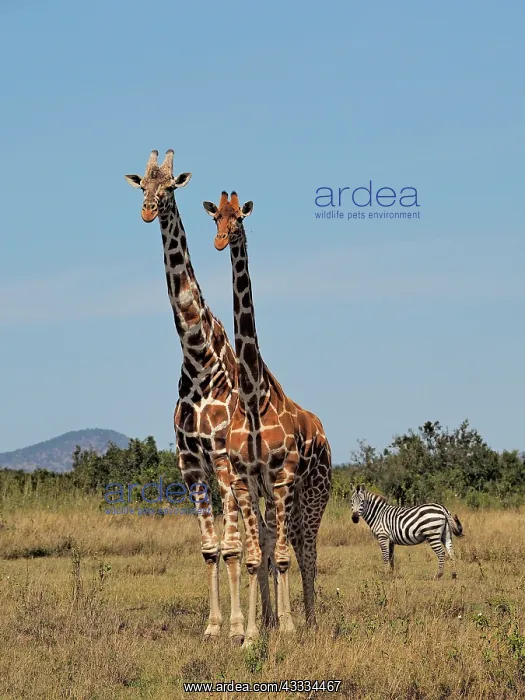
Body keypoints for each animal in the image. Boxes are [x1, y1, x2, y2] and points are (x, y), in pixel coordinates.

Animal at [124, 151, 248, 643]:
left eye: (169, 187)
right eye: (143, 186)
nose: (146, 211)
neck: (197, 358)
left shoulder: (222, 460)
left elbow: (232, 548)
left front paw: (237, 629)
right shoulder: (190, 463)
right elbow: (210, 548)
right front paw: (213, 627)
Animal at [203, 191, 332, 644]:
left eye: (239, 219)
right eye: (216, 218)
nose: (221, 241)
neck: (253, 396)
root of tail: (322, 431)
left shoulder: (282, 477)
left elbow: (282, 558)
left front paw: (288, 628)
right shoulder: (245, 479)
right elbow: (256, 556)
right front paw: (252, 634)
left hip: (312, 493)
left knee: (307, 550)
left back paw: (309, 620)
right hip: (278, 496)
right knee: (277, 541)